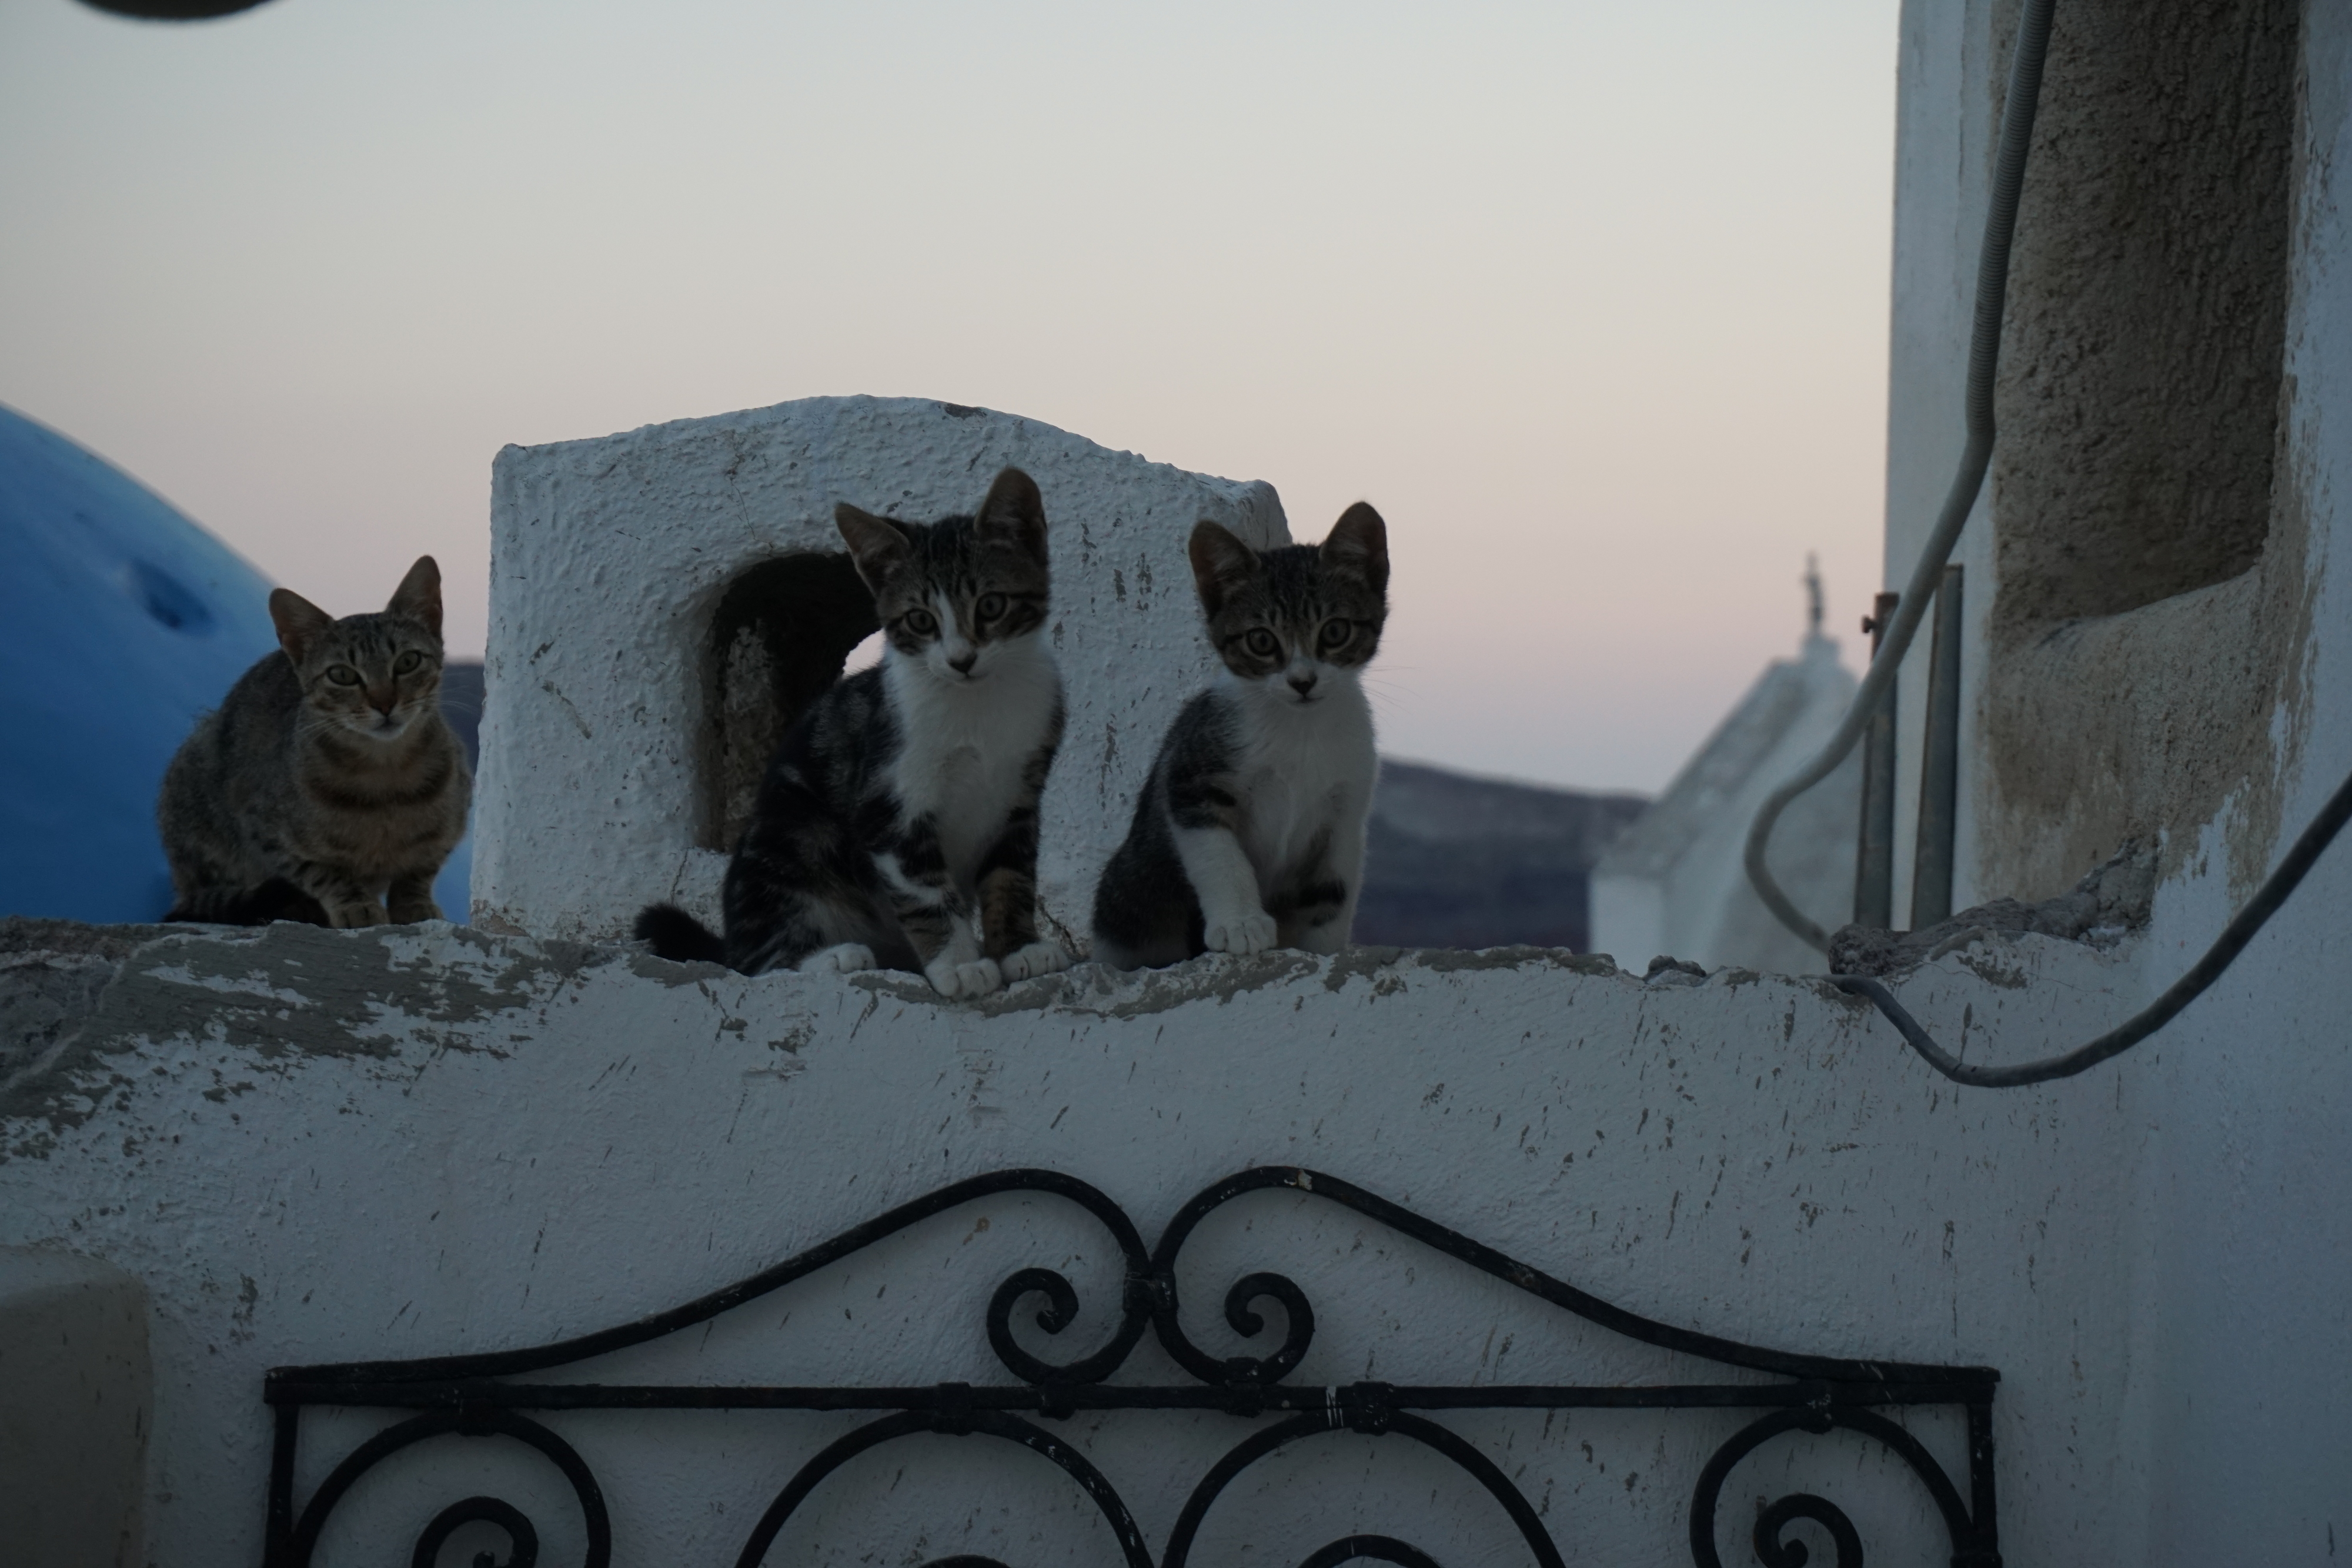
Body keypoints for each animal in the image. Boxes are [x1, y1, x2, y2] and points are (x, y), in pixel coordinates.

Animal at [159, 557, 470, 931]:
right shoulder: (265, 832)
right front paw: (355, 904)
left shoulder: (453, 823)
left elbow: (419, 870)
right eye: (342, 675)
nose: (384, 703)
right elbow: (323, 873)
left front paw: (414, 904)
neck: (386, 781)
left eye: (408, 662)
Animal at [644, 472, 1082, 1001]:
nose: (961, 660)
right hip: (790, 832)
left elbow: (1011, 876)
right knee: (755, 960)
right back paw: (828, 956)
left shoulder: (1021, 794)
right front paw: (960, 965)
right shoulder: (888, 799)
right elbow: (926, 891)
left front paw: (1019, 949)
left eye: (992, 605)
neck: (978, 704)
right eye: (921, 619)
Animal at [1091, 503, 1383, 968]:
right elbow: (1219, 855)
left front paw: (1323, 952)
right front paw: (1242, 924)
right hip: (1133, 886)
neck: (1299, 730)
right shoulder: (1191, 774)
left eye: (1335, 632)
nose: (1303, 681)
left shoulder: (1345, 812)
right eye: (1261, 640)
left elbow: (1332, 892)